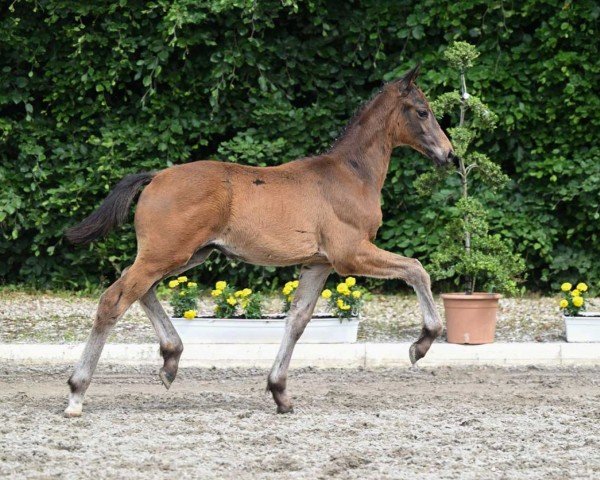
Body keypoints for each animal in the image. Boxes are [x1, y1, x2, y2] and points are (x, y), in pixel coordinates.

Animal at [64, 64, 450, 416]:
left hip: (187, 254)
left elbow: (297, 320)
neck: (350, 174)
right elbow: (416, 269)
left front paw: (280, 392)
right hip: (167, 253)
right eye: (422, 111)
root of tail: (156, 176)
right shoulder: (349, 254)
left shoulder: (318, 263)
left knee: (141, 289)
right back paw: (76, 393)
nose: (448, 154)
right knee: (114, 299)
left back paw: (170, 361)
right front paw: (421, 344)